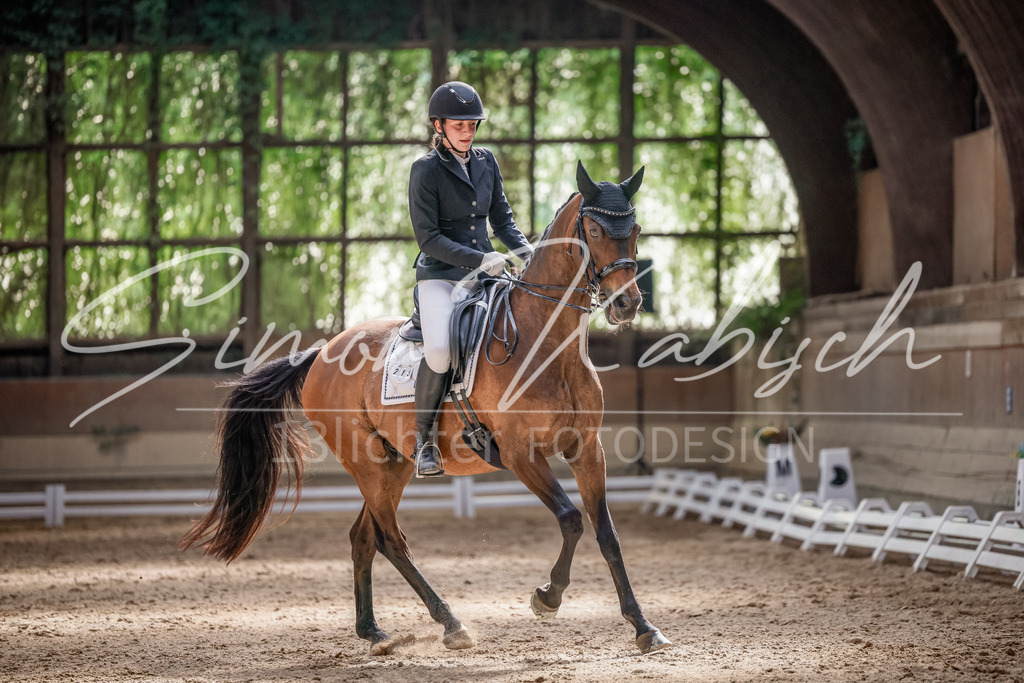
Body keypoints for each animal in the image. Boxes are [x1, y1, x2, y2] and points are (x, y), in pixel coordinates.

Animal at [179, 161, 672, 655]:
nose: (627, 303)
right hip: (367, 463)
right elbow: (571, 520)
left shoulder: (587, 449)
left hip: (392, 464)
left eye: (635, 229)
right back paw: (451, 624)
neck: (549, 345)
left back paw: (374, 631)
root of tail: (321, 354)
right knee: (390, 540)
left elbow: (607, 534)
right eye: (594, 228)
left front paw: (644, 627)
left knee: (363, 537)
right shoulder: (521, 454)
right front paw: (547, 597)